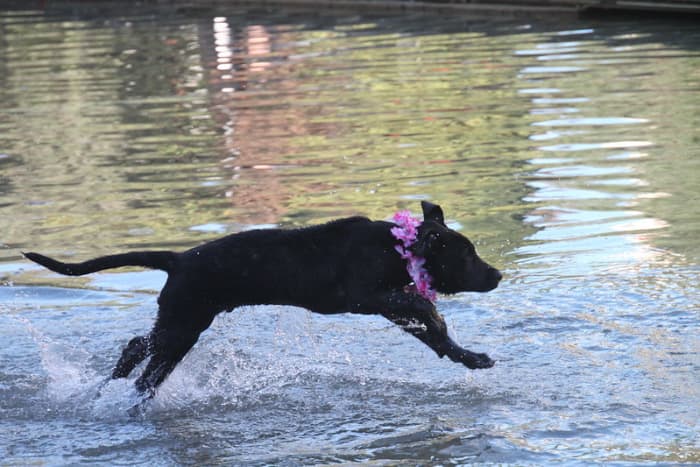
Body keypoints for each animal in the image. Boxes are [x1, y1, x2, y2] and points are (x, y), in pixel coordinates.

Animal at [24, 201, 500, 398]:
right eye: (466, 255)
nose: (497, 274)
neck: (396, 247)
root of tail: (178, 259)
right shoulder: (366, 297)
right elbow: (420, 309)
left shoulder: (389, 303)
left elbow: (432, 331)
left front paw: (469, 357)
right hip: (183, 326)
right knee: (148, 371)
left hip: (178, 320)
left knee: (136, 345)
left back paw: (108, 387)